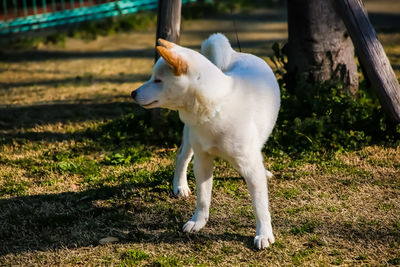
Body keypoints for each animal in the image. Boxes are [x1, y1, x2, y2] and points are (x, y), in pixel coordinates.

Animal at [130, 34, 280, 251]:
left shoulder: (249, 167)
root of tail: (234, 55)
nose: (132, 93)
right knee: (181, 157)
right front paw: (198, 221)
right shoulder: (202, 161)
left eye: (158, 80)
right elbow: (203, 198)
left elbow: (260, 206)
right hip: (189, 139)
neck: (217, 108)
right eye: (152, 78)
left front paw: (264, 233)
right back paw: (180, 186)